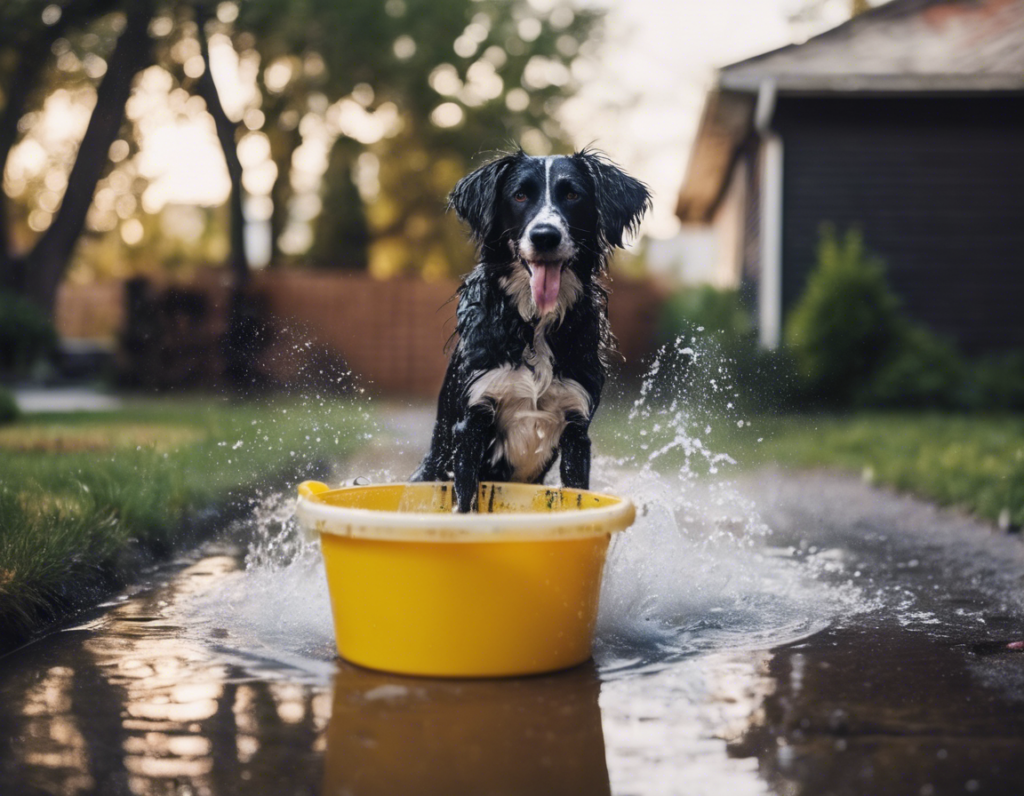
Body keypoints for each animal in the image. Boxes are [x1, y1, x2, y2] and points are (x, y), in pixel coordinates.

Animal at [407, 148, 647, 510]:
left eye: (573, 195)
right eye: (520, 195)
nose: (545, 236)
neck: (534, 326)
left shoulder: (577, 430)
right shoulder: (471, 423)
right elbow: (465, 504)